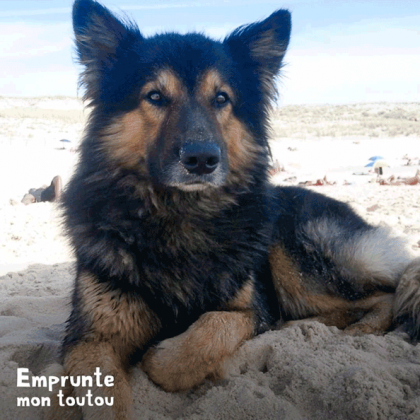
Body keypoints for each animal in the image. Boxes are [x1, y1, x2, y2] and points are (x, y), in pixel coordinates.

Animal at [50, 1, 420, 418]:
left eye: (221, 98)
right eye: (155, 96)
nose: (202, 159)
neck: (182, 216)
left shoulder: (249, 308)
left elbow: (209, 329)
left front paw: (162, 356)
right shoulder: (91, 338)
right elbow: (105, 395)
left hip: (294, 256)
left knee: (386, 292)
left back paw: (355, 329)